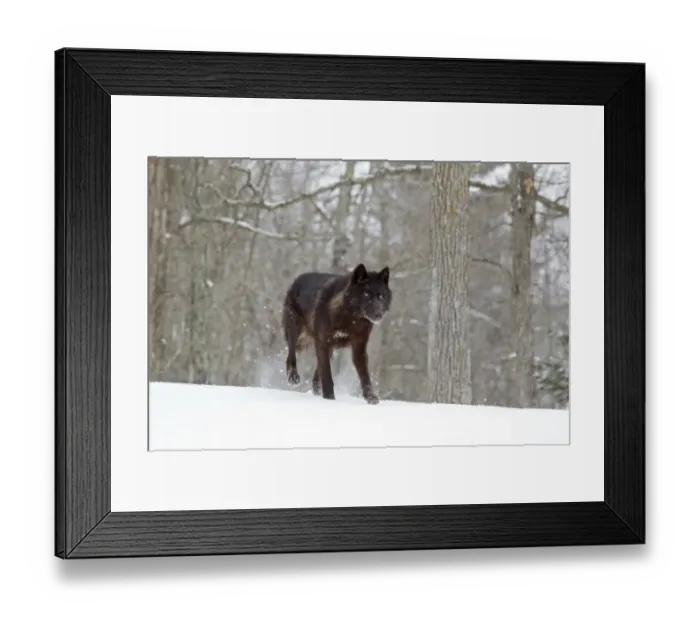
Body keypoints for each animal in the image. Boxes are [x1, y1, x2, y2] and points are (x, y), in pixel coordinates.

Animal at [281, 263, 392, 404]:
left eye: (381, 296)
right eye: (366, 294)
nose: (379, 314)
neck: (350, 320)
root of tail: (297, 279)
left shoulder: (359, 348)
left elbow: (365, 376)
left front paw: (370, 397)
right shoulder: (323, 343)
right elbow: (327, 375)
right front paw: (329, 398)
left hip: (329, 349)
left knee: (316, 373)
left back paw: (317, 390)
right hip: (295, 331)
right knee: (291, 355)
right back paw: (293, 377)